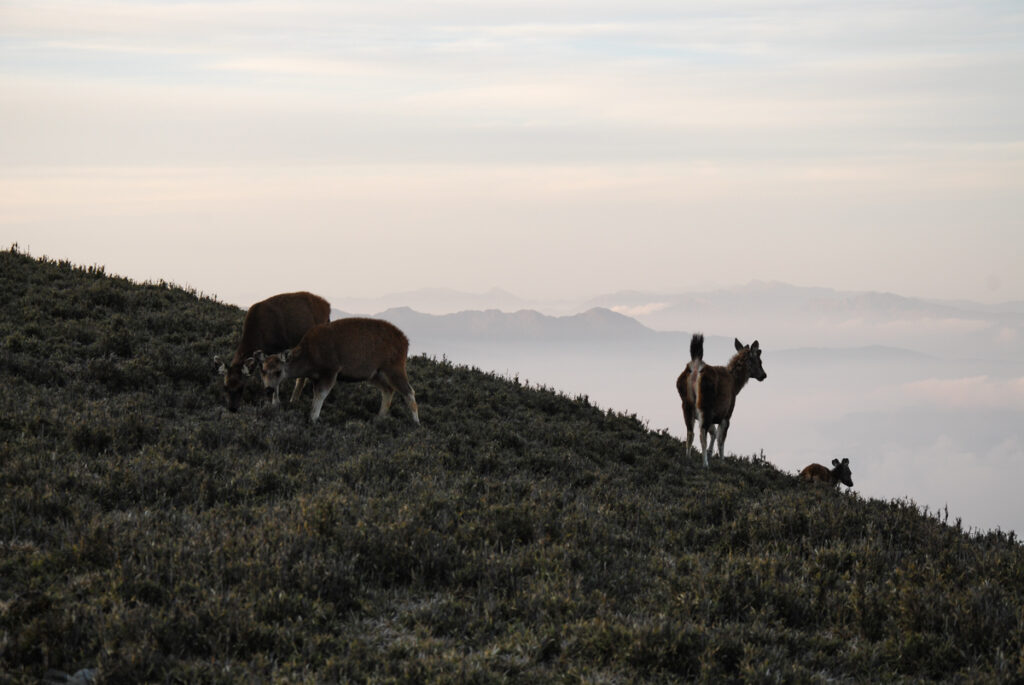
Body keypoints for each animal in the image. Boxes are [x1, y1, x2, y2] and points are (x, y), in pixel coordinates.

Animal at [255, 317, 419, 425]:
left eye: (278, 371)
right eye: (262, 370)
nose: (268, 389)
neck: (310, 358)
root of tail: (405, 342)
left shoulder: (331, 370)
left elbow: (321, 394)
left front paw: (313, 418)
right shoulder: (315, 377)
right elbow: (313, 393)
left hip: (394, 367)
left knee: (409, 391)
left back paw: (416, 422)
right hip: (375, 374)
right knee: (388, 390)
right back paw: (379, 418)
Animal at [676, 333, 767, 468]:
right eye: (759, 361)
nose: (764, 375)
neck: (736, 385)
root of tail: (696, 367)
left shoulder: (713, 416)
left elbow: (713, 433)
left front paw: (710, 453)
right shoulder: (726, 415)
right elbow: (721, 440)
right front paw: (722, 461)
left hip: (687, 404)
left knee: (690, 432)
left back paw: (688, 458)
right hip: (705, 404)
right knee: (701, 434)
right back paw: (705, 464)